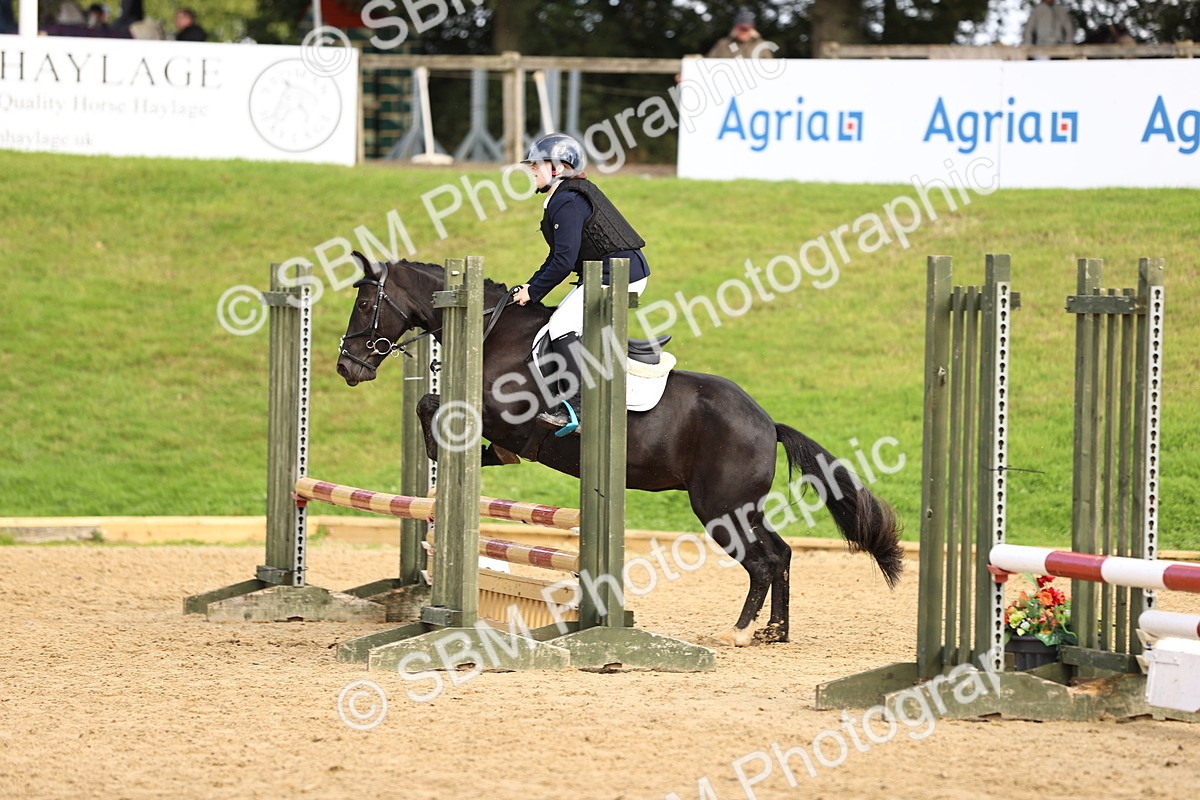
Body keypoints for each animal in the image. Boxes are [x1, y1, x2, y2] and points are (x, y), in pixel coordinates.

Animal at [335, 255, 903, 646]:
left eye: (364, 304)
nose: (347, 366)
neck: (494, 332)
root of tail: (767, 422)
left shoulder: (505, 415)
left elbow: (431, 403)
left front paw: (436, 444)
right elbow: (447, 417)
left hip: (719, 508)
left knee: (762, 563)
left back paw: (739, 632)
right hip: (741, 507)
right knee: (780, 554)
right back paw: (774, 633)